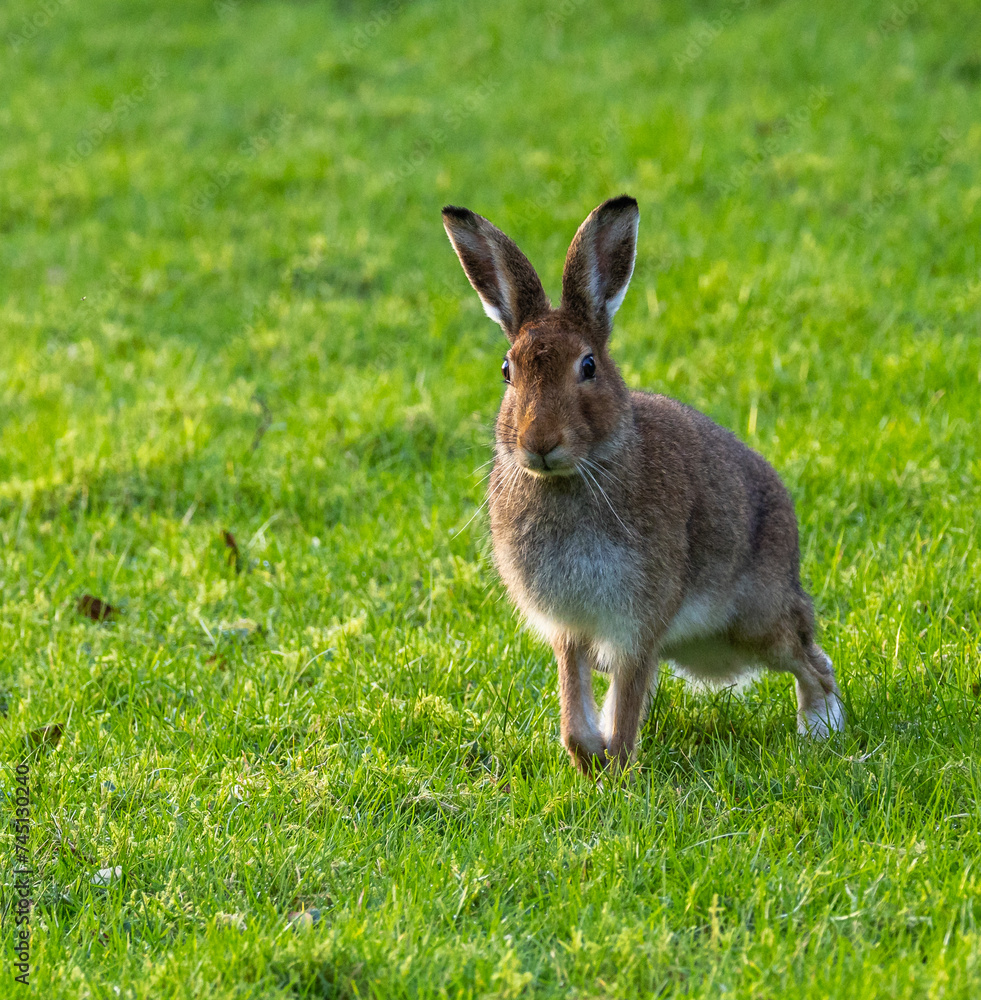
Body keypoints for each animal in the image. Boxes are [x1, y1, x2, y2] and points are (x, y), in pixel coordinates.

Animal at [441, 195, 844, 774]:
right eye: (506, 371)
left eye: (588, 366)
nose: (539, 441)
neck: (576, 473)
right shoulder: (574, 632)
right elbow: (577, 705)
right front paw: (589, 759)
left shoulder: (637, 624)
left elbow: (629, 703)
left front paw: (617, 774)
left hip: (759, 620)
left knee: (812, 659)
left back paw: (821, 731)